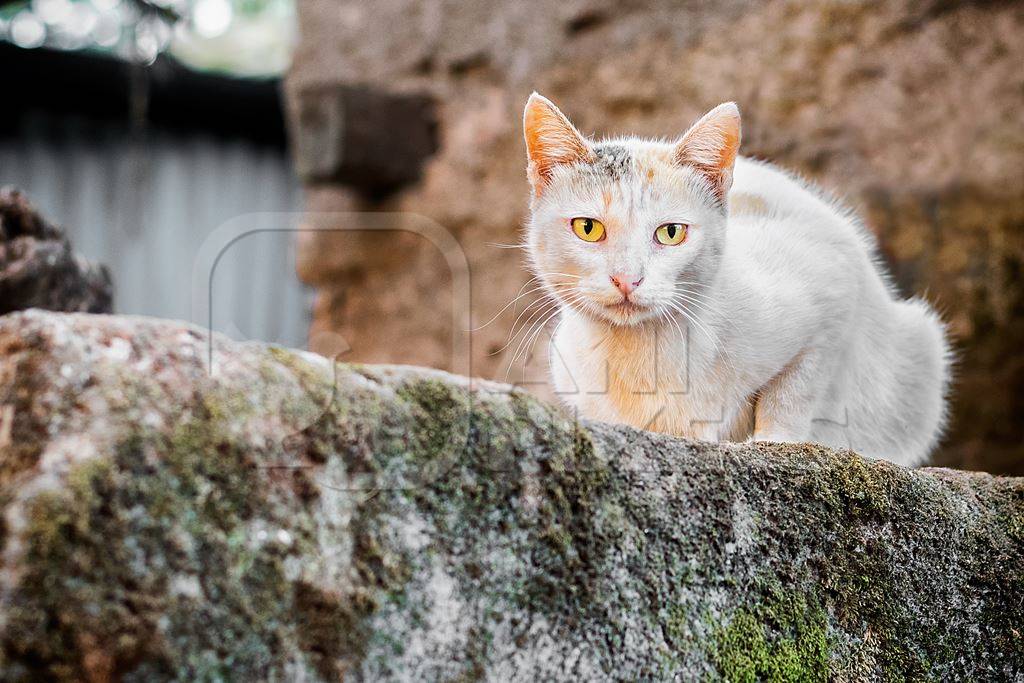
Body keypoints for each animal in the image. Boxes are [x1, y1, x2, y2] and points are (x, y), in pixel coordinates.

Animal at [520, 93, 950, 466]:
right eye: (588, 228)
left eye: (671, 232)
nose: (627, 279)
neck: (644, 354)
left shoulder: (832, 288)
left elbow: (793, 389)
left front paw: (774, 442)